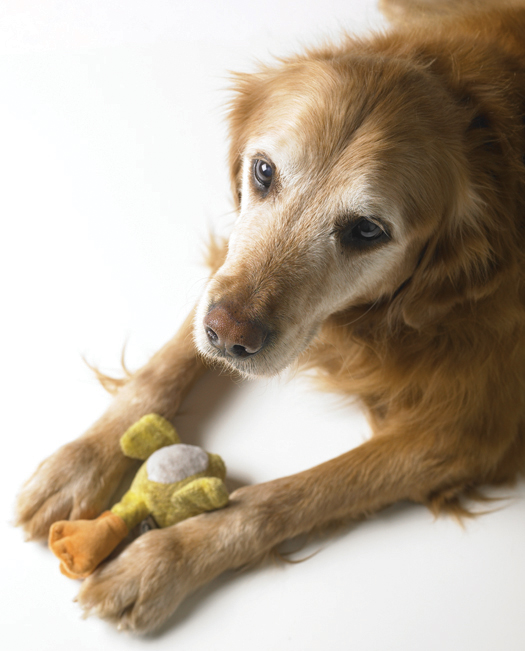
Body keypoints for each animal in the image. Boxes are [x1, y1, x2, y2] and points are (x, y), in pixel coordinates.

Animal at [14, 0, 524, 636]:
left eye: (367, 230)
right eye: (262, 171)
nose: (227, 337)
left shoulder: (468, 433)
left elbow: (284, 499)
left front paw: (161, 562)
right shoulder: (223, 273)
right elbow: (167, 362)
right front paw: (80, 462)